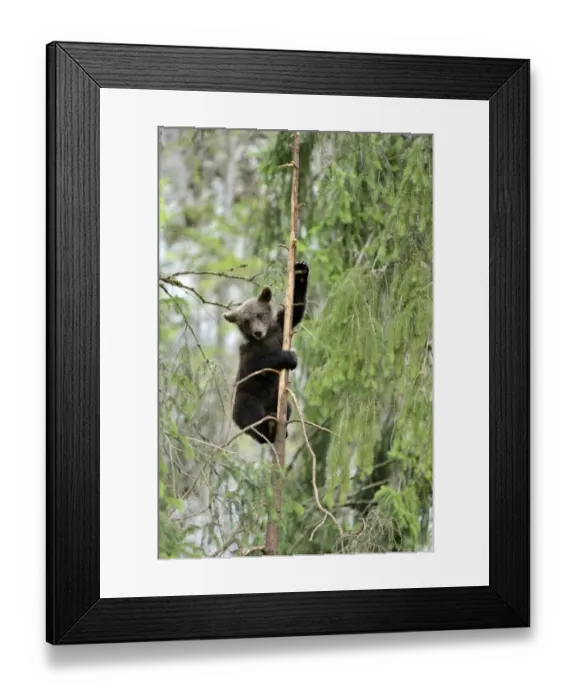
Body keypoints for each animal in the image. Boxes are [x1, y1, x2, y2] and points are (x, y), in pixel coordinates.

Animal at [223, 261, 309, 446]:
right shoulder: (248, 352)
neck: (266, 338)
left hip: (277, 399)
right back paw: (266, 428)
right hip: (244, 397)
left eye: (259, 315)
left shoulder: (280, 329)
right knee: (250, 413)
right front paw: (290, 357)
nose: (257, 332)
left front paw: (300, 270)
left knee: (288, 408)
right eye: (246, 321)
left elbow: (295, 310)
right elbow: (258, 363)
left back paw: (278, 426)